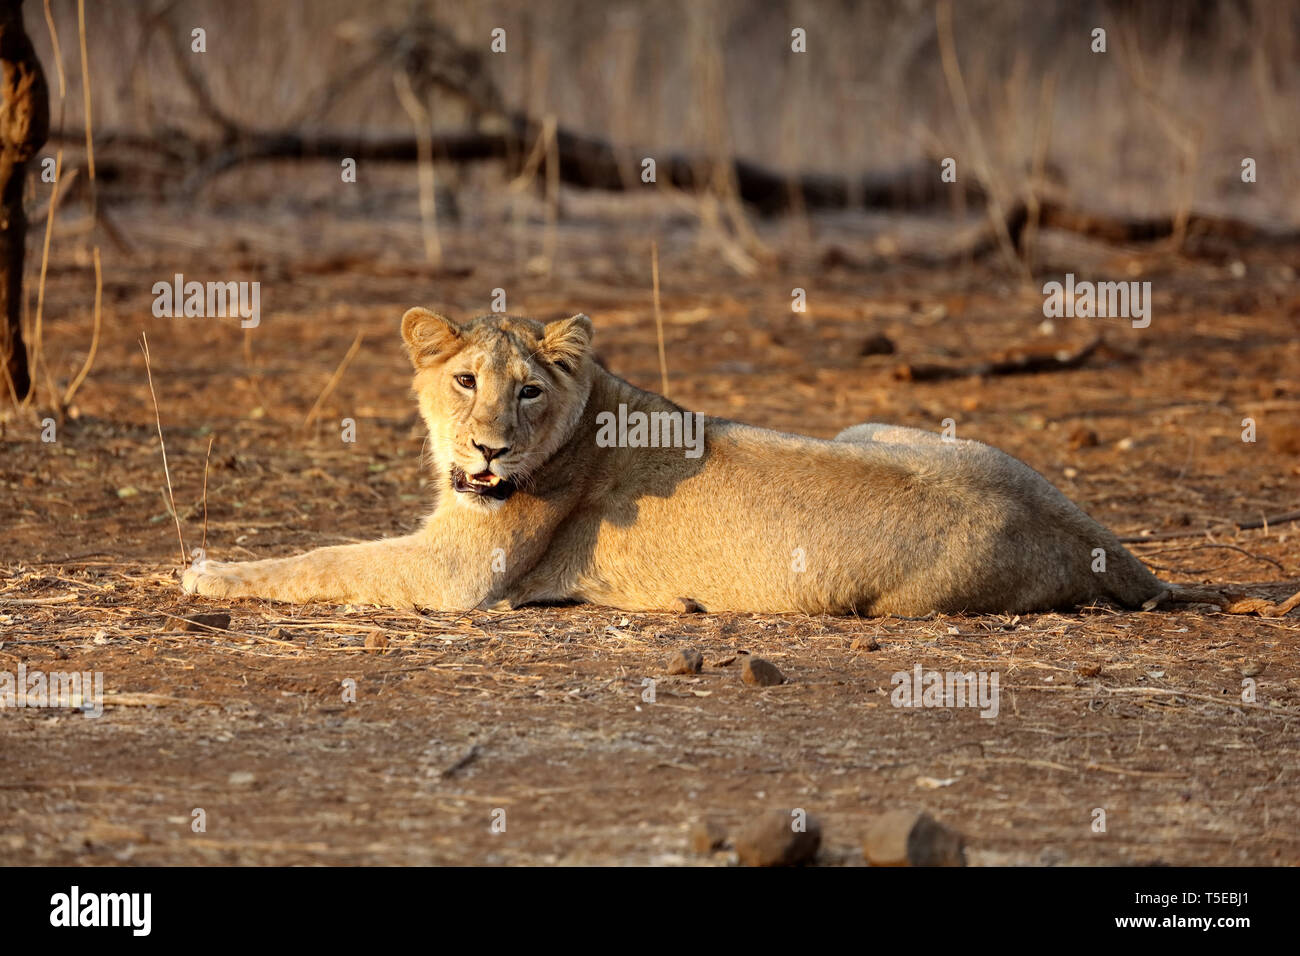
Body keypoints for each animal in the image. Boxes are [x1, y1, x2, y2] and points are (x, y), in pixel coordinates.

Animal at [180, 310, 1268, 616]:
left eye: (526, 391)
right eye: (465, 381)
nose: (490, 445)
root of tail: (1093, 534)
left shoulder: (455, 576)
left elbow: (322, 559)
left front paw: (200, 570)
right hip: (874, 422)